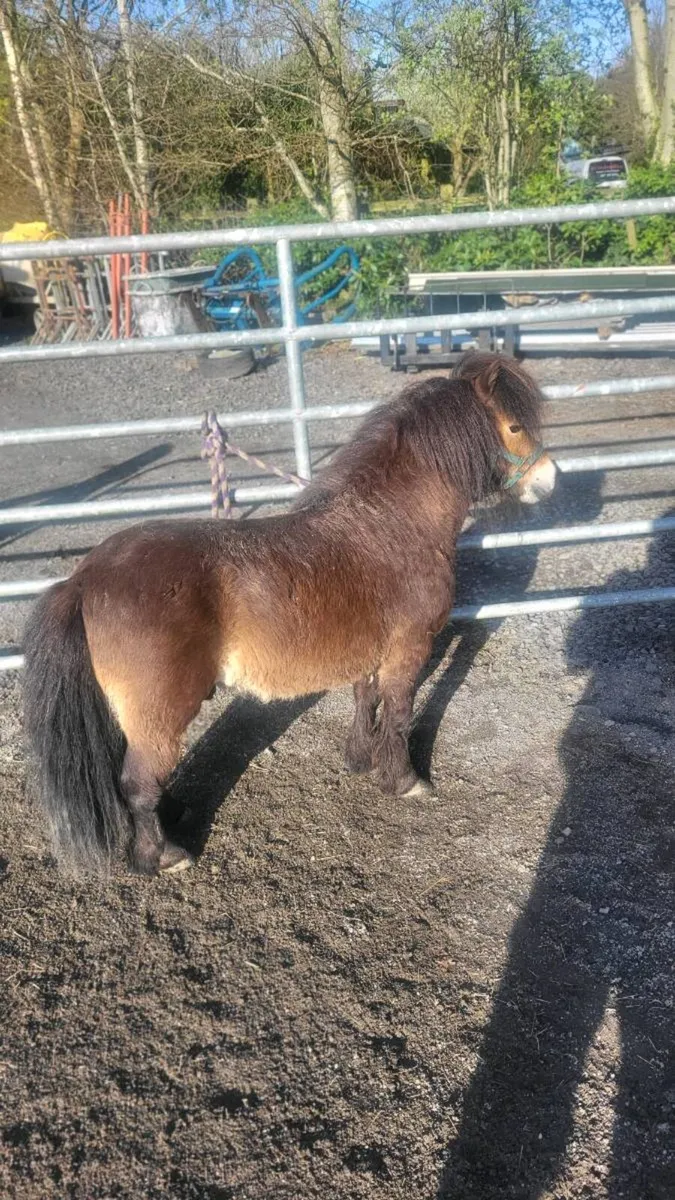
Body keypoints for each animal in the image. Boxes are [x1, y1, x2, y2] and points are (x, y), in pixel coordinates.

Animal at [23, 352, 557, 877]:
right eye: (513, 426)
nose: (549, 479)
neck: (388, 524)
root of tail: (83, 580)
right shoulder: (408, 649)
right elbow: (400, 714)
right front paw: (404, 780)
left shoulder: (370, 648)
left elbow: (366, 700)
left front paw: (360, 759)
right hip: (159, 710)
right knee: (135, 783)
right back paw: (165, 856)